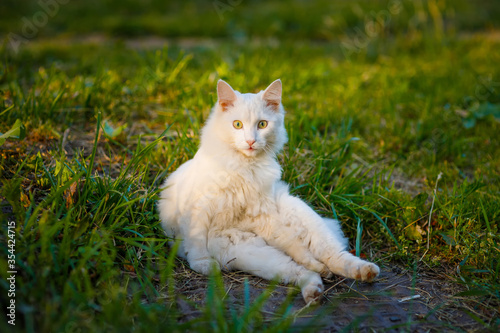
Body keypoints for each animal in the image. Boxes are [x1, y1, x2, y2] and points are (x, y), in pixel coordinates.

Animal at [158, 79, 380, 302]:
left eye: (262, 124)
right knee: (301, 269)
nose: (250, 141)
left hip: (301, 219)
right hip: (252, 254)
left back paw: (362, 272)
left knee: (330, 256)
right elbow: (196, 240)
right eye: (237, 124)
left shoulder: (262, 213)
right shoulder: (199, 208)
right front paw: (203, 264)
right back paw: (315, 290)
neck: (244, 168)